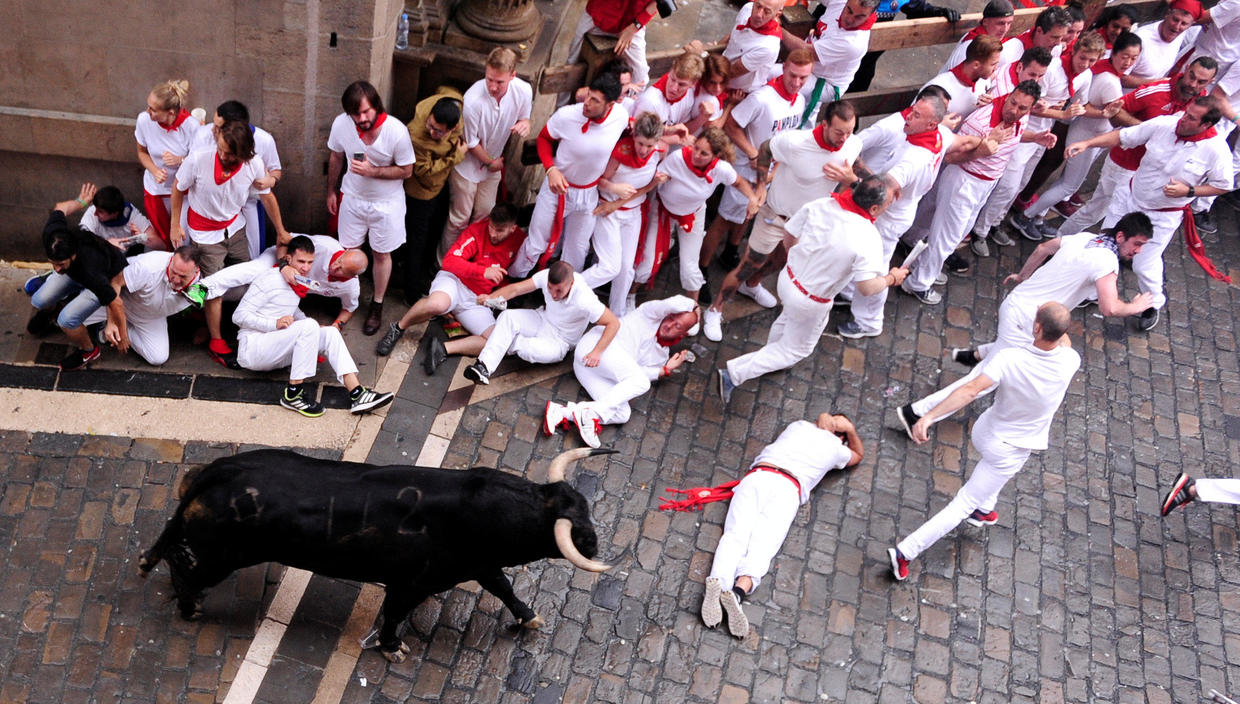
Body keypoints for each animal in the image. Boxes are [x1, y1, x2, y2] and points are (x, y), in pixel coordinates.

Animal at [139, 446, 615, 659]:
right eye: (579, 530)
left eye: (586, 507)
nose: (596, 544)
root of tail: (222, 469)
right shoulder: (412, 584)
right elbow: (394, 616)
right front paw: (392, 647)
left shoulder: (480, 565)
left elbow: (504, 588)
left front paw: (530, 618)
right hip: (219, 556)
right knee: (183, 566)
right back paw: (190, 608)